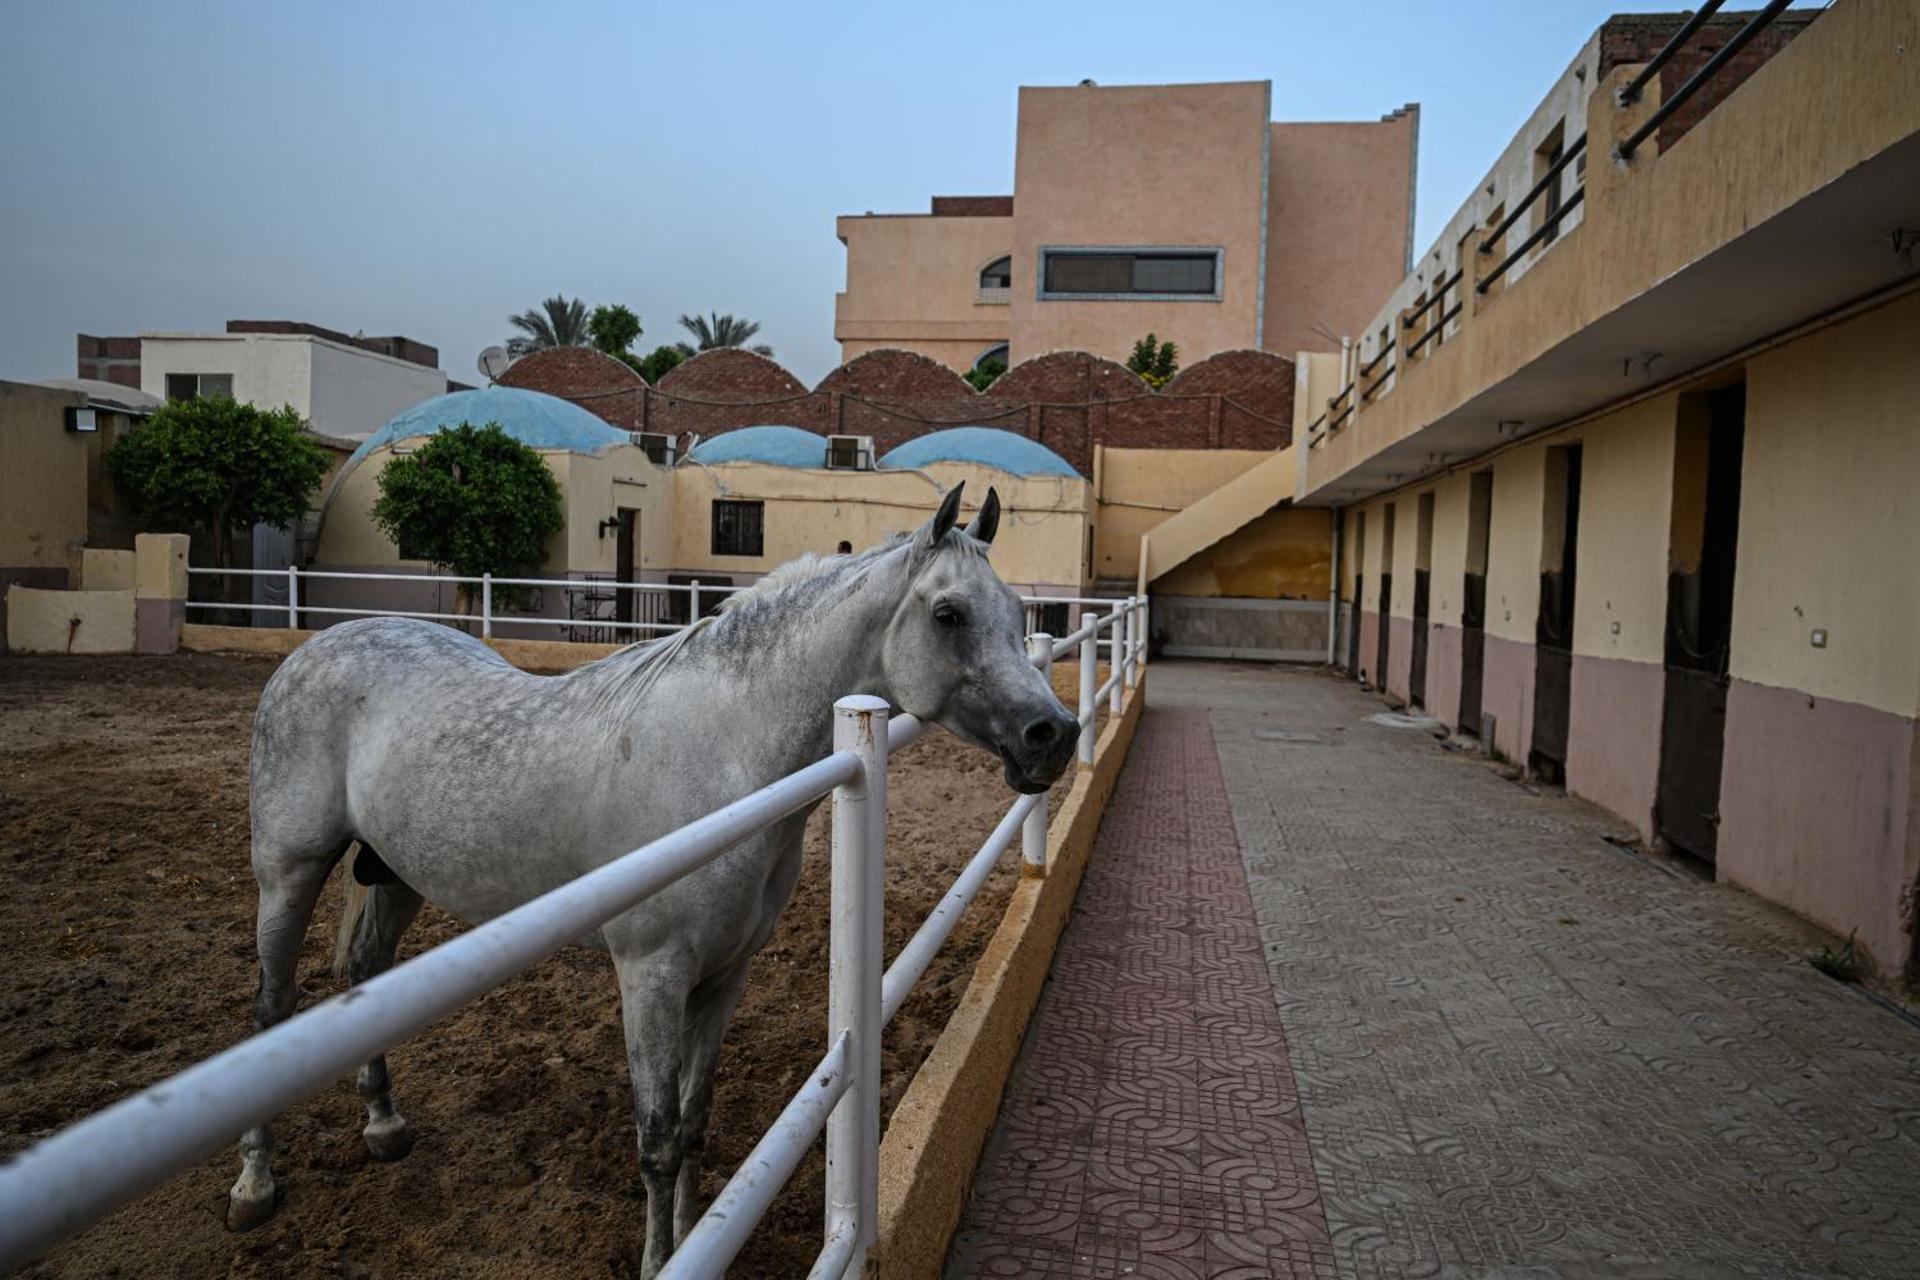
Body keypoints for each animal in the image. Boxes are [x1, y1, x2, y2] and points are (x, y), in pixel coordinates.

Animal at [227, 483, 1078, 1277]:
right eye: (948, 614)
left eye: (1016, 611)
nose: (1055, 735)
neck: (725, 757)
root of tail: (322, 645)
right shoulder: (651, 974)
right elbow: (659, 1137)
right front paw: (659, 1258)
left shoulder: (726, 973)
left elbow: (695, 1120)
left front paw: (699, 1238)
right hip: (290, 869)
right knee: (271, 1009)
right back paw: (253, 1186)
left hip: (397, 875)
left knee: (362, 970)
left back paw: (382, 1125)